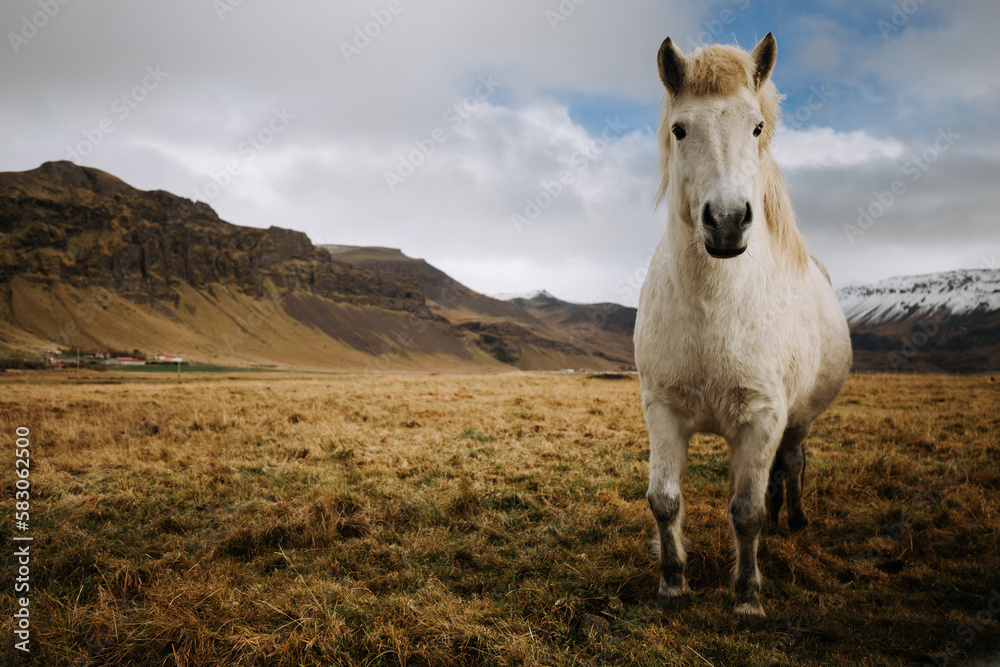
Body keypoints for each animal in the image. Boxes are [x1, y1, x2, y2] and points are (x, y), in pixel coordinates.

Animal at [633, 32, 852, 629]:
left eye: (756, 127)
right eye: (680, 129)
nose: (728, 221)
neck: (715, 308)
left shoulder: (763, 416)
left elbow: (747, 510)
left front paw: (748, 597)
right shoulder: (663, 410)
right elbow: (664, 499)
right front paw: (672, 585)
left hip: (797, 418)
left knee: (791, 462)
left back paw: (793, 520)